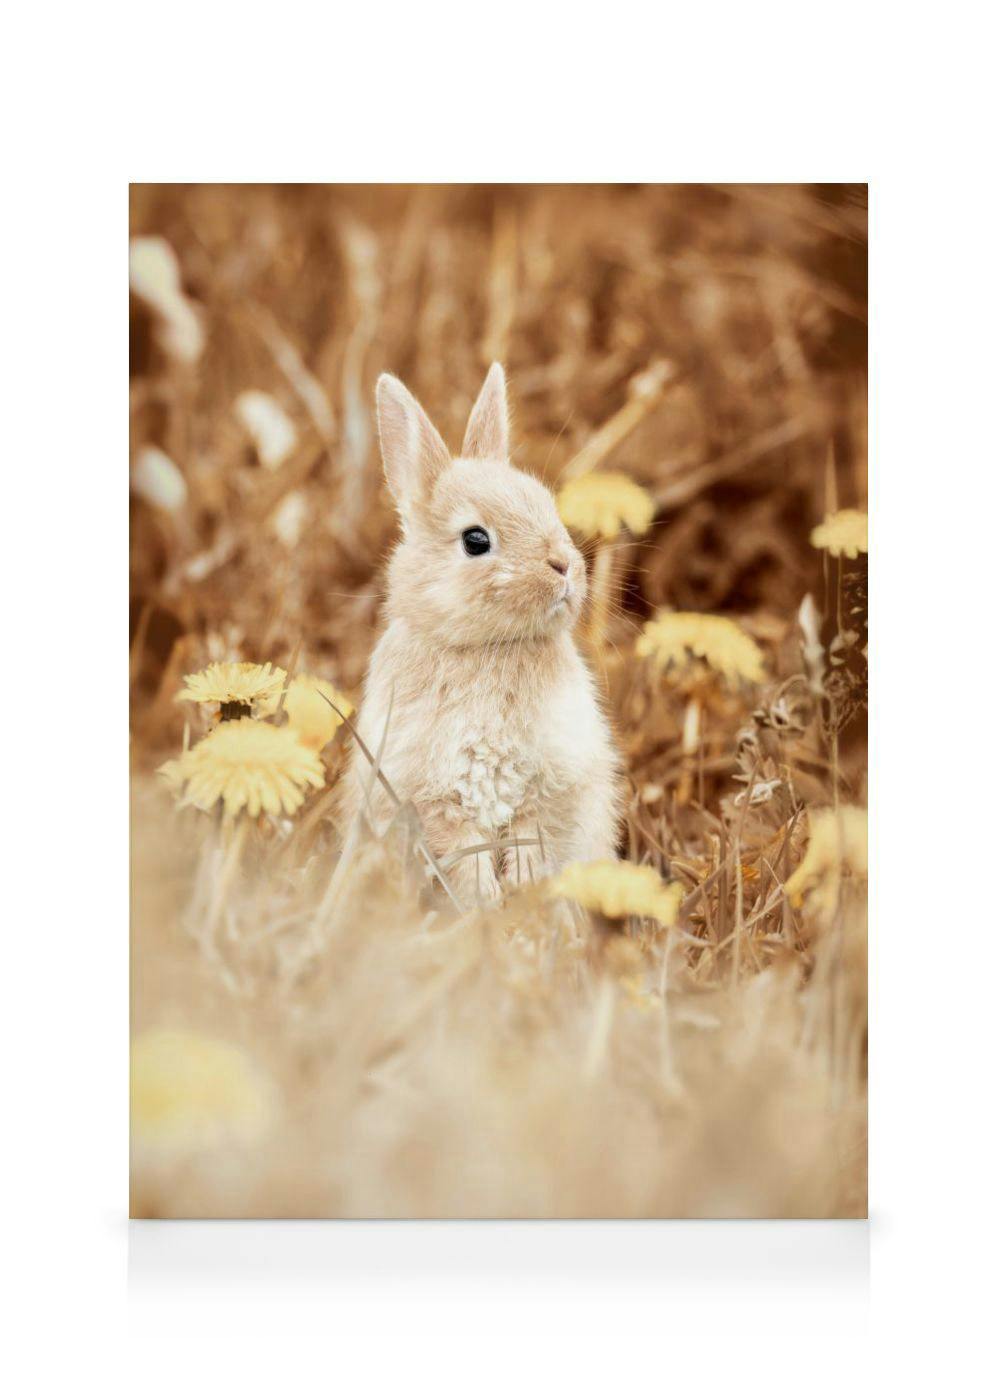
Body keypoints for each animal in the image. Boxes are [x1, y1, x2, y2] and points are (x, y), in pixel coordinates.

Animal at [339, 362, 623, 904]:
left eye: (546, 505)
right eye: (475, 540)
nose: (564, 566)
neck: (486, 648)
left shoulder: (549, 784)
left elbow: (533, 837)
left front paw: (521, 895)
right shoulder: (435, 796)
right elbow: (464, 854)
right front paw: (485, 907)